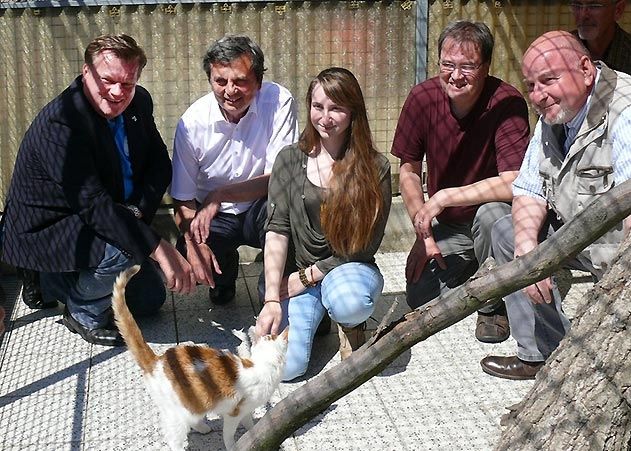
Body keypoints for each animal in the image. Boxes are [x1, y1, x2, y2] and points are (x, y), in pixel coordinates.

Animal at [112, 266, 290, 451]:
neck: (264, 364)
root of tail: (157, 361)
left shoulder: (246, 410)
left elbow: (250, 425)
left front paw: (255, 433)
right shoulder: (234, 413)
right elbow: (229, 434)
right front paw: (233, 446)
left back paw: (203, 427)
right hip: (179, 412)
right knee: (174, 437)